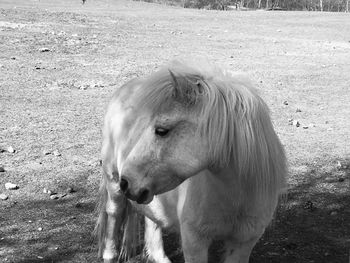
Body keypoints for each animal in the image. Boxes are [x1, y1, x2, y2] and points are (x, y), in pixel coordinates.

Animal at [95, 60, 288, 263]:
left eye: (161, 130)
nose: (126, 182)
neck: (237, 197)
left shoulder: (244, 243)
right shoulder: (194, 242)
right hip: (113, 182)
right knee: (114, 212)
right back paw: (110, 254)